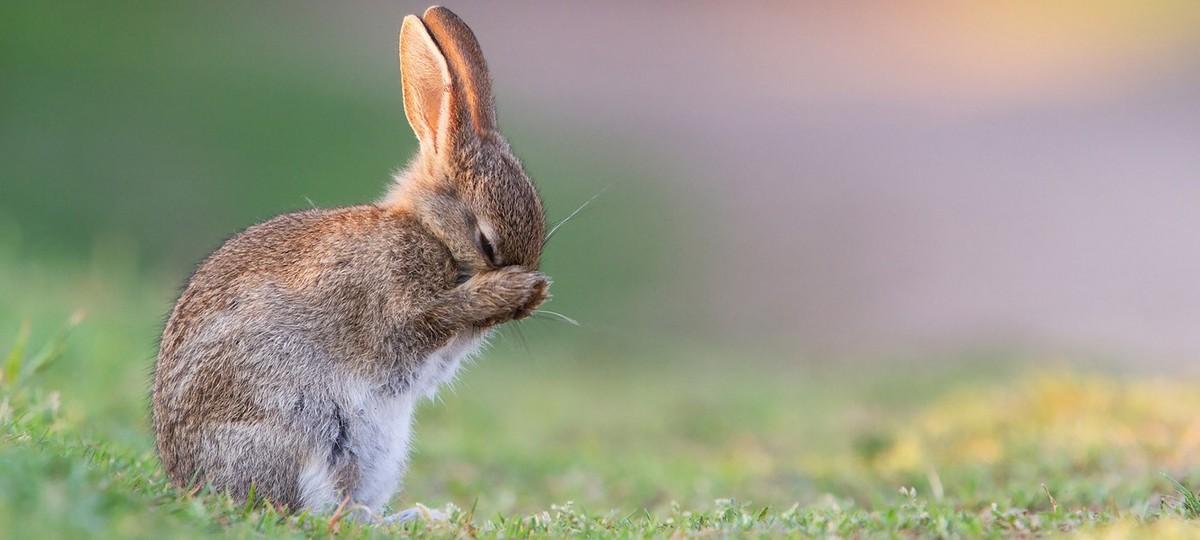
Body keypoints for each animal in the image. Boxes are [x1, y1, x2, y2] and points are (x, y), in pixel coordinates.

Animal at [152, 6, 548, 516]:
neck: (431, 232)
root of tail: (189, 481)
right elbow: (429, 320)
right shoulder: (396, 305)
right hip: (299, 430)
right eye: (486, 243)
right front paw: (512, 290)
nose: (529, 294)